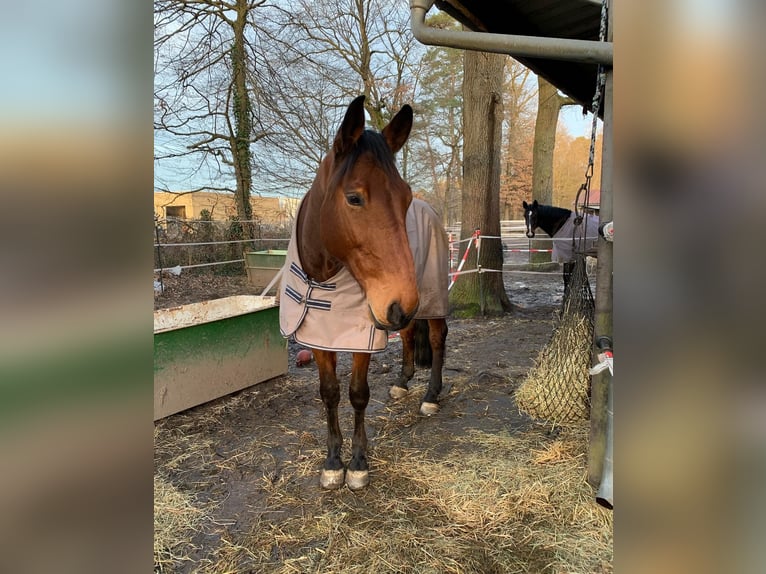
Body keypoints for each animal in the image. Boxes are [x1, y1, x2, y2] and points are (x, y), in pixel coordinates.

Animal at [280, 95, 450, 490]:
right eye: (354, 197)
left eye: (405, 198)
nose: (402, 299)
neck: (322, 275)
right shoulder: (319, 337)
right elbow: (329, 393)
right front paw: (332, 461)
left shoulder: (364, 338)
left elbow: (358, 394)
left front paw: (357, 463)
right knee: (408, 335)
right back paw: (403, 381)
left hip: (428, 299)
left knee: (436, 339)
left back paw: (431, 396)